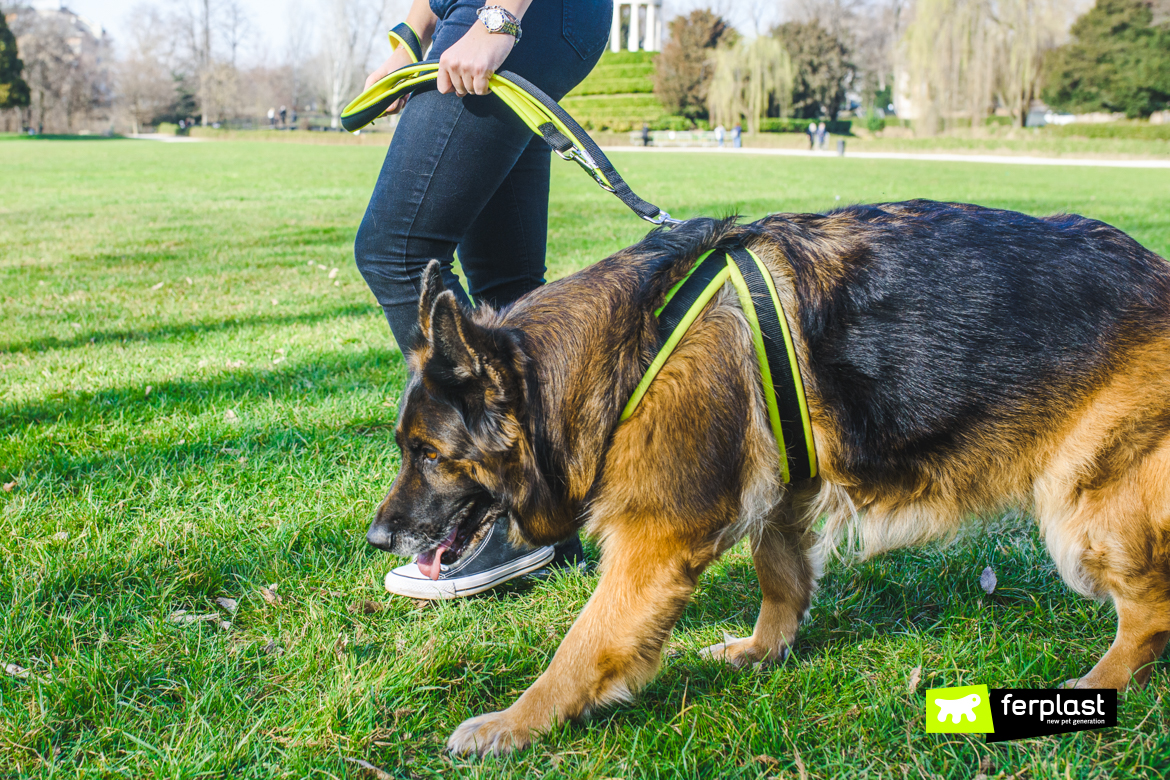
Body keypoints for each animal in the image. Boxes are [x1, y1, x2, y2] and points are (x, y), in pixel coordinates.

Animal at [365, 199, 1170, 757]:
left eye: (429, 455)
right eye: (407, 449)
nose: (376, 538)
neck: (625, 353)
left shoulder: (654, 541)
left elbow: (581, 647)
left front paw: (515, 723)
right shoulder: (788, 489)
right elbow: (779, 573)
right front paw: (763, 650)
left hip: (1084, 511)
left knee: (1151, 610)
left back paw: (1099, 686)